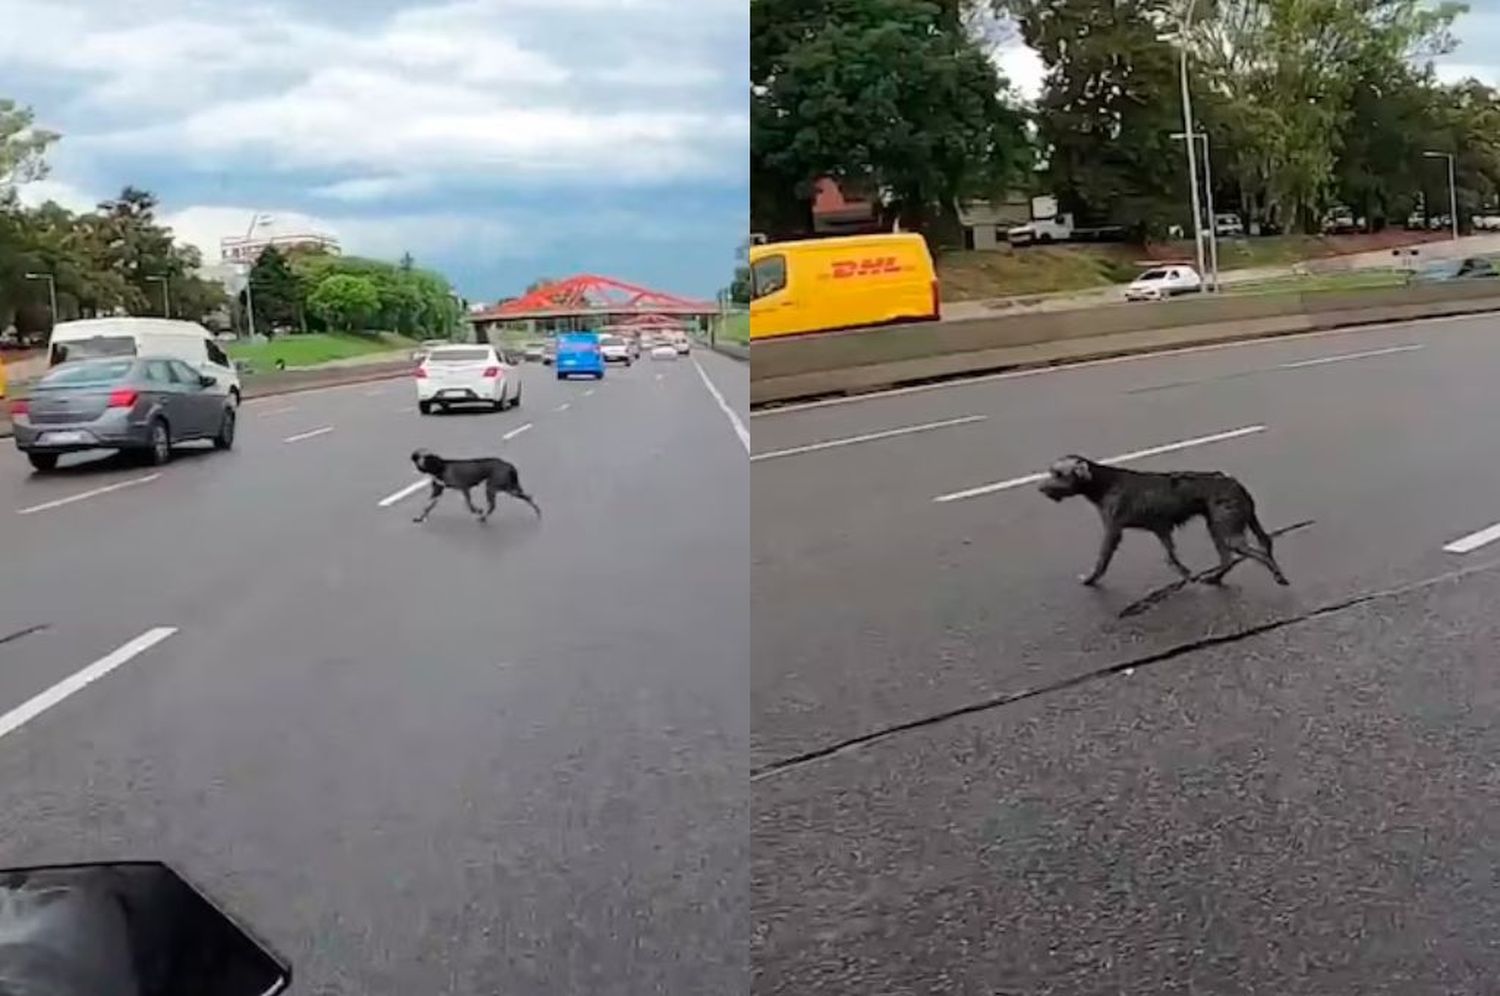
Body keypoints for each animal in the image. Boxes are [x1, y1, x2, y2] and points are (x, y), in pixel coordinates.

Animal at [414, 450, 543, 525]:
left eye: (424, 459)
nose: (414, 456)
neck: (442, 467)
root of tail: (509, 465)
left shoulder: (464, 488)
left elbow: (469, 504)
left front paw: (477, 510)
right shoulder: (437, 492)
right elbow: (427, 506)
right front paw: (420, 518)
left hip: (493, 487)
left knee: (492, 506)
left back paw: (483, 517)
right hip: (508, 487)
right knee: (528, 497)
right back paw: (537, 511)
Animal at [1044, 456, 1290, 588]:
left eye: (1058, 474)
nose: (1041, 488)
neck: (1103, 483)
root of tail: (1237, 484)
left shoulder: (1113, 529)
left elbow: (1102, 559)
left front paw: (1091, 578)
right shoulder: (1161, 528)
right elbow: (1171, 554)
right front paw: (1185, 573)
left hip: (1227, 528)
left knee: (1260, 554)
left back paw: (1279, 576)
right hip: (1217, 527)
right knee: (1228, 559)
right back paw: (1214, 578)